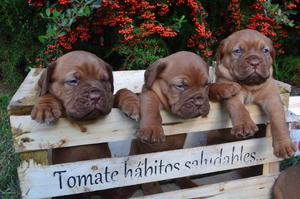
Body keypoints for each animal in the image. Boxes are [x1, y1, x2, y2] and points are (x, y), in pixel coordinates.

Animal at [29, 51, 140, 197]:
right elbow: (48, 94)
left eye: (104, 80)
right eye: (73, 81)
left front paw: (133, 102)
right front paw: (45, 106)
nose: (95, 96)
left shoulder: (109, 100)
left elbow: (120, 92)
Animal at [214, 28, 296, 158]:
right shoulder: (230, 88)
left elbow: (278, 120)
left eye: (265, 50)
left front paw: (284, 145)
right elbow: (238, 107)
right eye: (237, 51)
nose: (254, 62)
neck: (250, 86)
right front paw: (244, 125)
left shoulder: (272, 98)